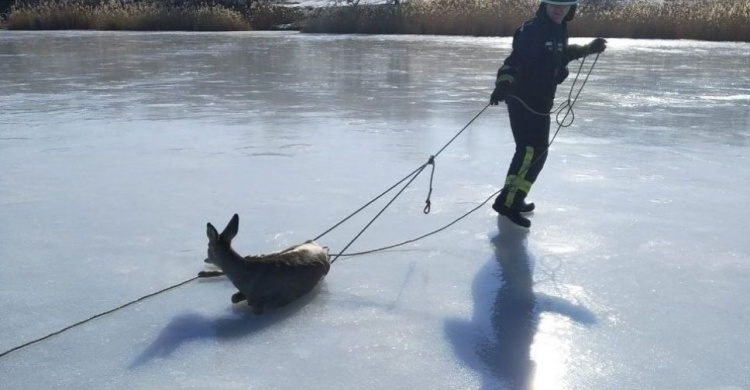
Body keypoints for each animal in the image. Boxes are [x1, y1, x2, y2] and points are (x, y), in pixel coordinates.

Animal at [201, 213, 330, 314]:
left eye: (207, 246)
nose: (205, 258)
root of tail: (319, 246)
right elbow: (234, 298)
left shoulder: (284, 298)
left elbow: (257, 307)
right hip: (286, 249)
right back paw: (204, 273)